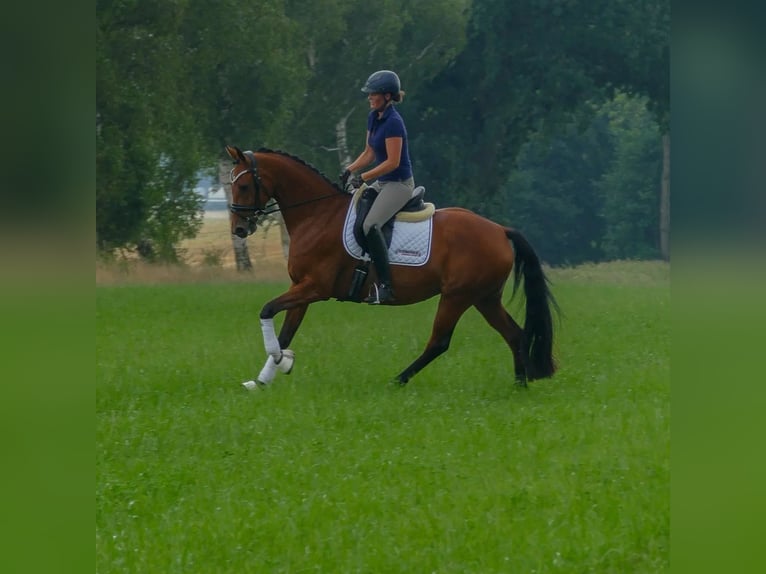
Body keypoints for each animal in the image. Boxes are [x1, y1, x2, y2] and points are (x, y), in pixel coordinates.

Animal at [224, 146, 560, 390]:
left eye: (244, 185)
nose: (238, 229)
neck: (317, 215)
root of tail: (500, 230)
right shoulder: (301, 288)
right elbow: (286, 331)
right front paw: (263, 378)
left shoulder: (315, 287)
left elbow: (267, 310)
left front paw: (282, 361)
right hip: (484, 297)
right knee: (515, 334)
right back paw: (519, 384)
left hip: (457, 296)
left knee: (439, 342)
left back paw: (398, 380)